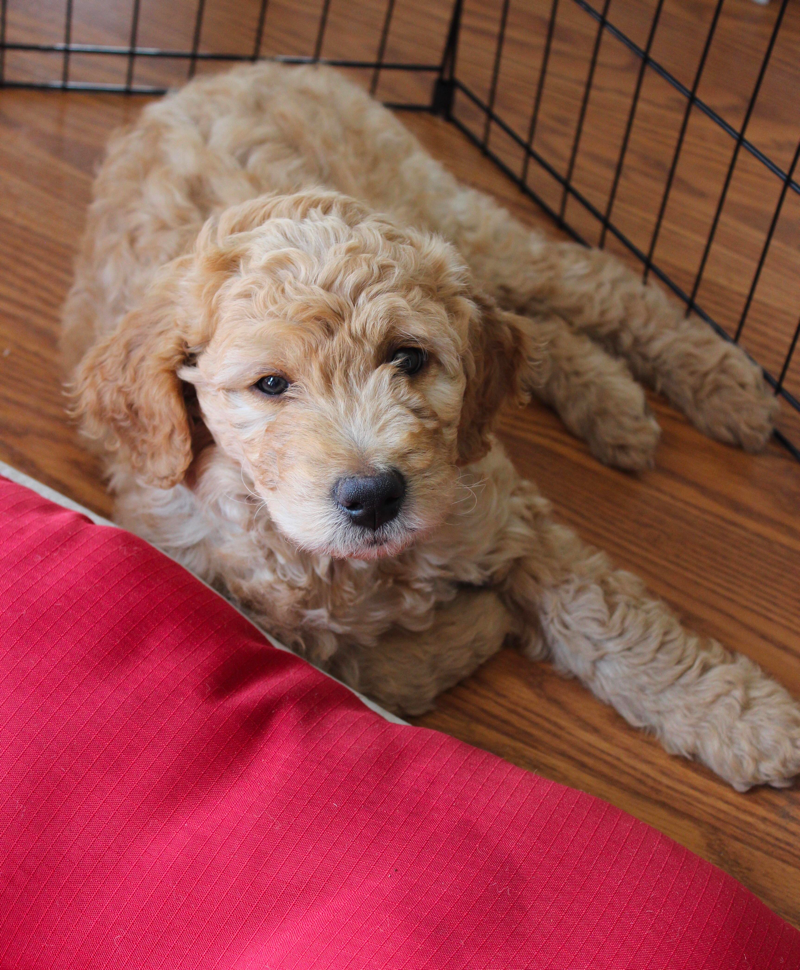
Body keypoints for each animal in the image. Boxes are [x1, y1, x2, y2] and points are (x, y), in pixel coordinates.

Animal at [61, 60, 792, 792]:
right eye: (271, 385)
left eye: (408, 358)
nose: (374, 497)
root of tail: (228, 73)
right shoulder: (227, 588)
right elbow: (363, 665)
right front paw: (477, 625)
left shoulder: (505, 515)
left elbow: (615, 626)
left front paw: (745, 721)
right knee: (537, 330)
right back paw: (615, 406)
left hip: (457, 222)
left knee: (586, 283)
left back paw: (724, 386)